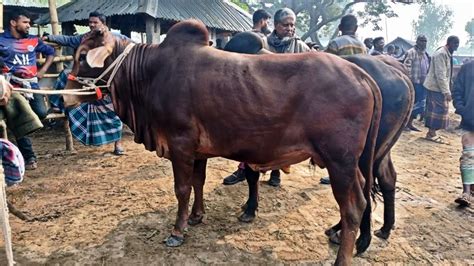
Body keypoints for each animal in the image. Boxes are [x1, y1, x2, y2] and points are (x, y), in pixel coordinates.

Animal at [64, 20, 382, 264]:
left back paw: (342, 257)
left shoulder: (180, 144)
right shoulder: (197, 151)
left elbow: (181, 189)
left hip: (339, 162)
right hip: (350, 164)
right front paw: (196, 216)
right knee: (363, 198)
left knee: (353, 207)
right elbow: (198, 183)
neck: (150, 72)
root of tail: (360, 74)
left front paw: (177, 231)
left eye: (83, 55)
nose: (65, 98)